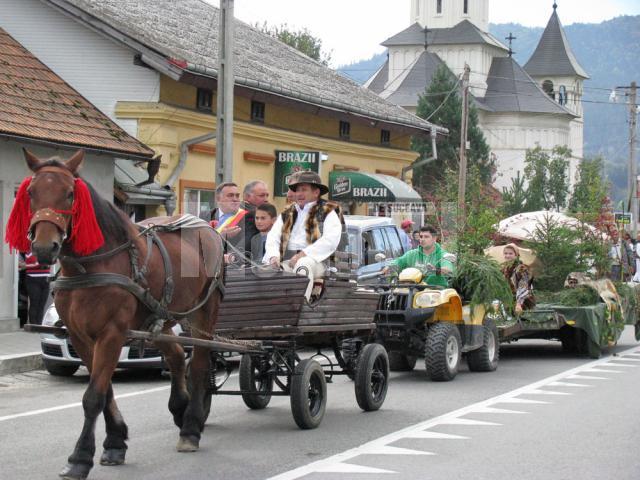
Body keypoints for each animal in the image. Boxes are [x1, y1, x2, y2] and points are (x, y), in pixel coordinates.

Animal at [5, 148, 222, 478]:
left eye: (69, 194)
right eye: (31, 193)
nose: (43, 248)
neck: (92, 266)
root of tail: (206, 227)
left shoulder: (111, 333)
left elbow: (93, 396)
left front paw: (80, 457)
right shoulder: (81, 337)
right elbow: (104, 388)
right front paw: (115, 442)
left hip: (204, 312)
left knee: (197, 364)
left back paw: (191, 427)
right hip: (159, 318)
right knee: (175, 356)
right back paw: (179, 408)